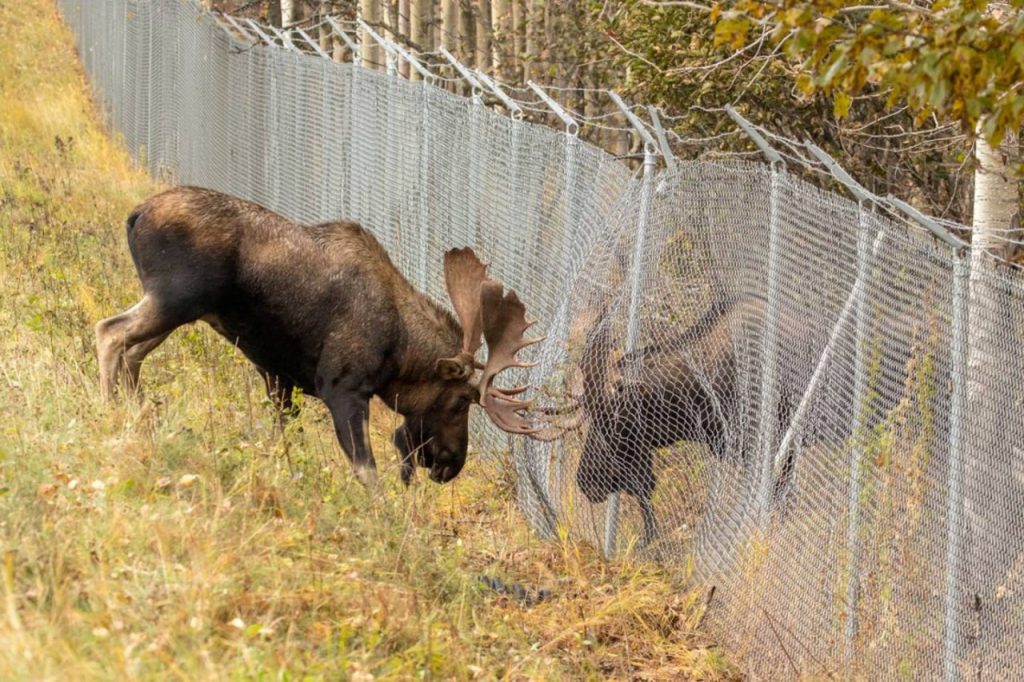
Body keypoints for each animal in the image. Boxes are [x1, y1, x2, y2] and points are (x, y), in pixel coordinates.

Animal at [96, 184, 544, 483]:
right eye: (460, 401)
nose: (452, 464)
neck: (400, 350)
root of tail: (136, 215)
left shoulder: (278, 376)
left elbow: (286, 444)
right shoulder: (342, 388)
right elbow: (366, 471)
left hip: (179, 310)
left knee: (132, 353)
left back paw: (137, 414)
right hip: (175, 300)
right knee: (110, 332)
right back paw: (110, 411)